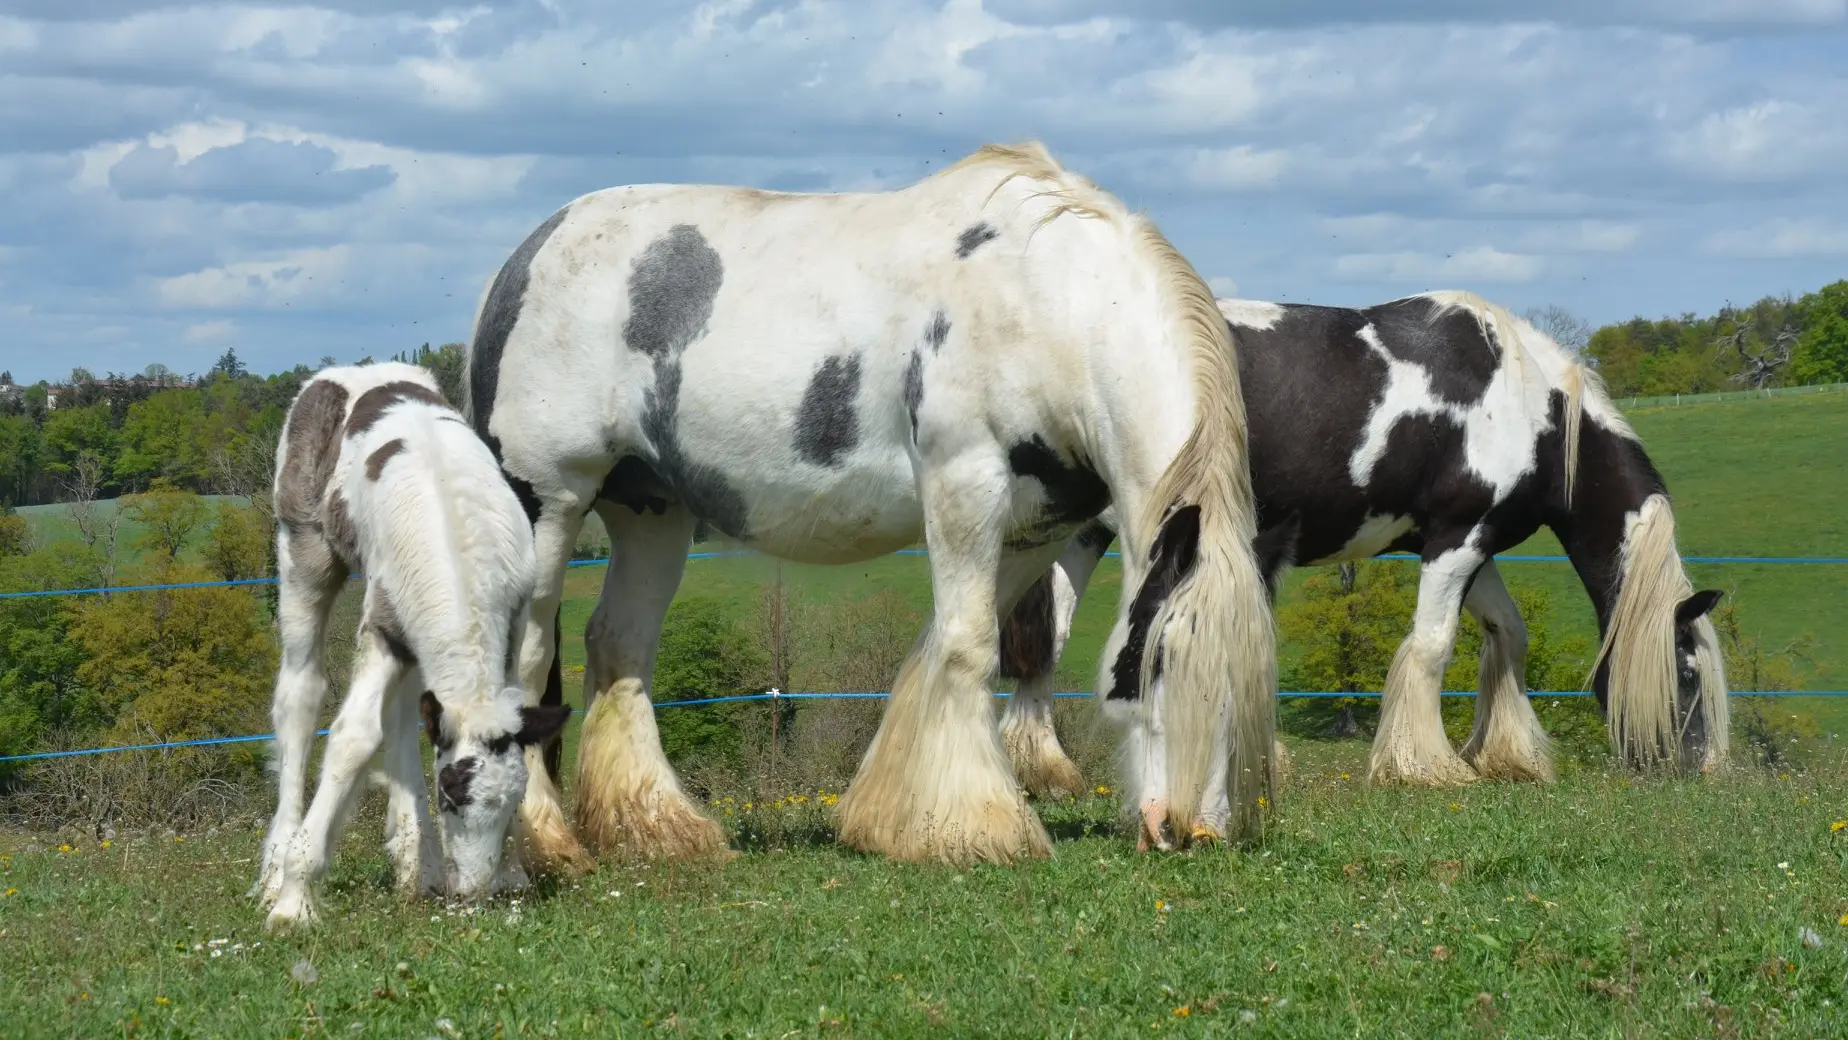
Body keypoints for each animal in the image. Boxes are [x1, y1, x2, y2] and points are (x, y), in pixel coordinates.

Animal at [254, 362, 570, 929]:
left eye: (512, 803)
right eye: (452, 797)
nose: (473, 892)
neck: (458, 550)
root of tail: (354, 370)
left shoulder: (508, 627)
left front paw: (512, 873)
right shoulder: (383, 628)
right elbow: (352, 737)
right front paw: (294, 900)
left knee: (403, 716)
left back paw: (417, 864)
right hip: (303, 551)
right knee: (299, 695)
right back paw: (275, 872)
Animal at [464, 141, 1280, 867]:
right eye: (1158, 660)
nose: (1191, 830)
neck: (1048, 300)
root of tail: (526, 254)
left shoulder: (1032, 527)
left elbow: (942, 646)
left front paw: (894, 817)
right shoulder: (964, 484)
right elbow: (969, 645)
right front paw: (980, 828)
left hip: (652, 513)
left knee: (618, 642)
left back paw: (656, 830)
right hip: (549, 505)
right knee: (525, 659)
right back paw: (545, 840)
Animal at [998, 293, 1730, 796]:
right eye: (1688, 672)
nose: (1704, 767)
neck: (1533, 407)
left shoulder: (1473, 543)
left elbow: (1509, 635)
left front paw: (1507, 754)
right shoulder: (1457, 538)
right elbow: (1432, 647)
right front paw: (1425, 765)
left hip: (1079, 536)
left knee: (1045, 638)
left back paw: (1044, 769)